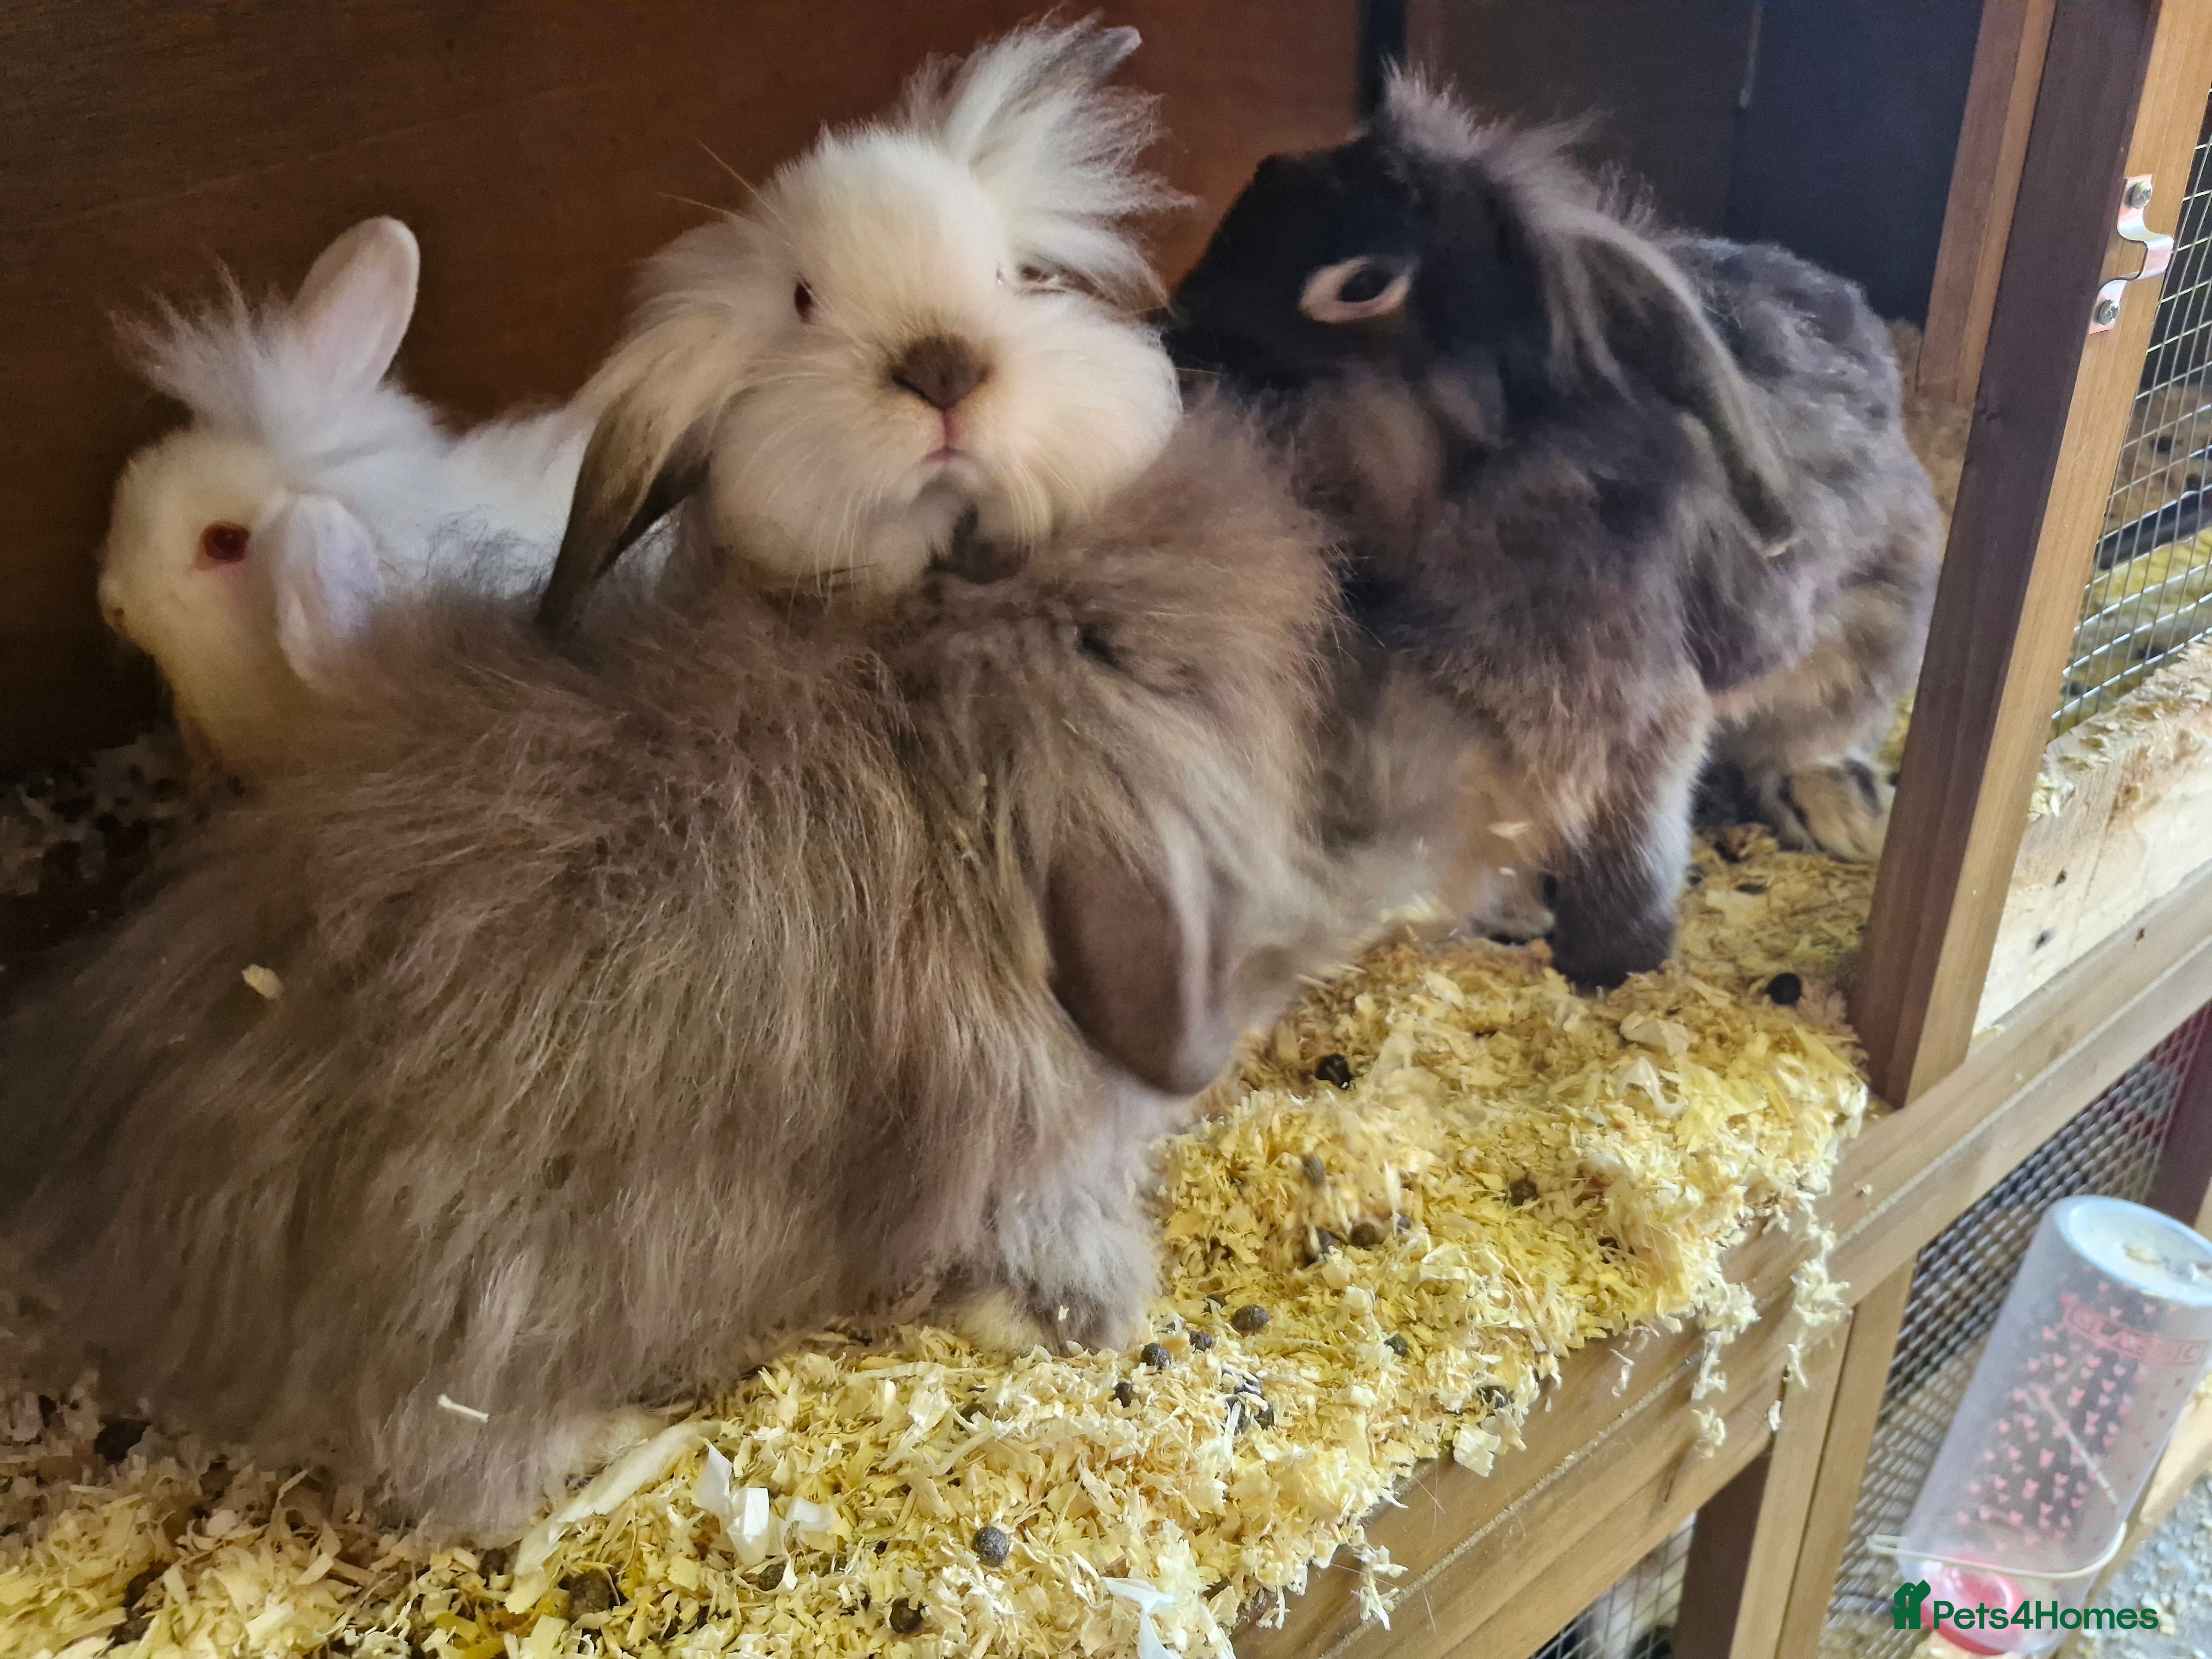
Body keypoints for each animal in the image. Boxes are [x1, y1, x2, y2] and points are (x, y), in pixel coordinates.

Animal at [1165, 75, 1940, 987]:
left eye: (1362, 285)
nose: (1177, 340)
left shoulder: (1630, 725)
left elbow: (1629, 852)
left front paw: (1615, 968)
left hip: (1862, 654)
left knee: (1806, 743)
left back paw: (1839, 812)